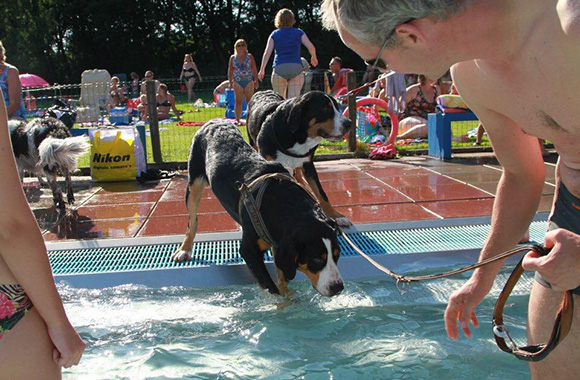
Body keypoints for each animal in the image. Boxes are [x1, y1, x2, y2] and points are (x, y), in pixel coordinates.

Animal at [172, 119, 344, 296]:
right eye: (316, 259)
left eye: (337, 255)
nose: (338, 287)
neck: (283, 202)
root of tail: (215, 120)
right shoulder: (249, 251)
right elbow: (272, 288)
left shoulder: (279, 245)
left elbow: (282, 281)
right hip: (194, 183)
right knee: (192, 221)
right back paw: (184, 249)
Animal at [246, 90, 352, 227]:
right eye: (325, 109)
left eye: (338, 108)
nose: (349, 123)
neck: (296, 136)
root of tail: (263, 91)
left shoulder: (308, 164)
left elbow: (321, 193)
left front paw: (335, 215)